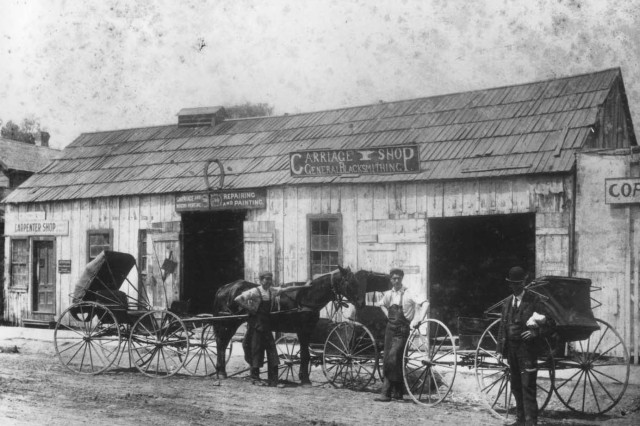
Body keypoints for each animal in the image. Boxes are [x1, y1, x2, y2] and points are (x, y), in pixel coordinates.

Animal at [211, 264, 358, 384]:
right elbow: (305, 355)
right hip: (229, 322)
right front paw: (305, 379)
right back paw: (222, 372)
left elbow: (305, 354)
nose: (359, 301)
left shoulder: (307, 330)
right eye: (348, 281)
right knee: (222, 343)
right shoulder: (303, 330)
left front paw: (302, 376)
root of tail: (224, 288)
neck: (306, 296)